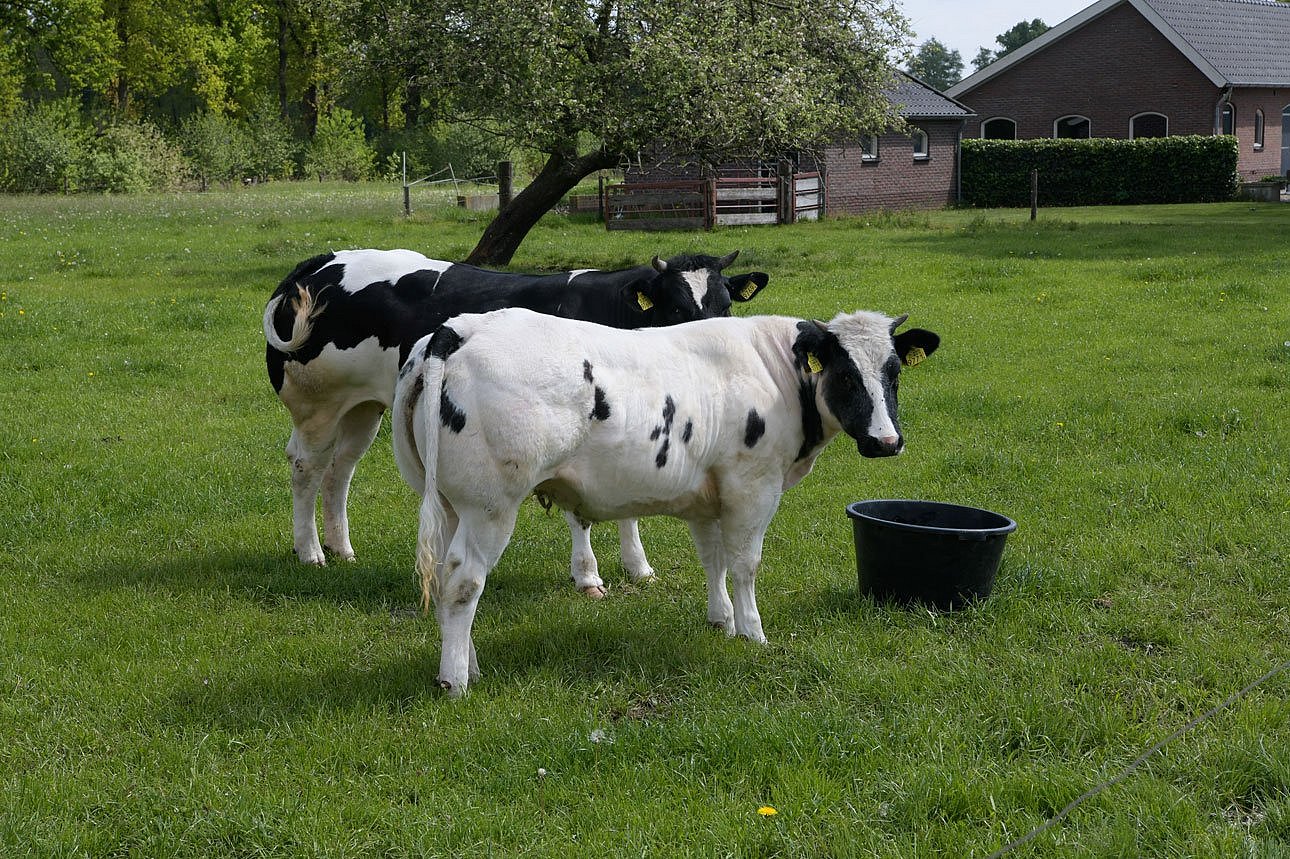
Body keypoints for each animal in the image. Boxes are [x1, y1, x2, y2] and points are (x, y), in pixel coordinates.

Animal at [261, 247, 763, 582]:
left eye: (726, 305)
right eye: (675, 306)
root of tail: (321, 262)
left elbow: (627, 503)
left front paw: (638, 567)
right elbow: (578, 512)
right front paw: (588, 575)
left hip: (362, 407)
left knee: (340, 469)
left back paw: (341, 548)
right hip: (317, 405)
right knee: (306, 466)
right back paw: (310, 551)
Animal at [389, 304, 939, 691]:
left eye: (893, 373)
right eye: (845, 374)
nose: (887, 441)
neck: (774, 372)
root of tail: (461, 329)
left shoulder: (710, 493)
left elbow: (714, 560)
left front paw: (722, 620)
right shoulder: (752, 485)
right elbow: (745, 564)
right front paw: (753, 632)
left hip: (448, 503)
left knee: (445, 575)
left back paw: (468, 664)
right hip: (490, 506)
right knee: (464, 581)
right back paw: (455, 680)